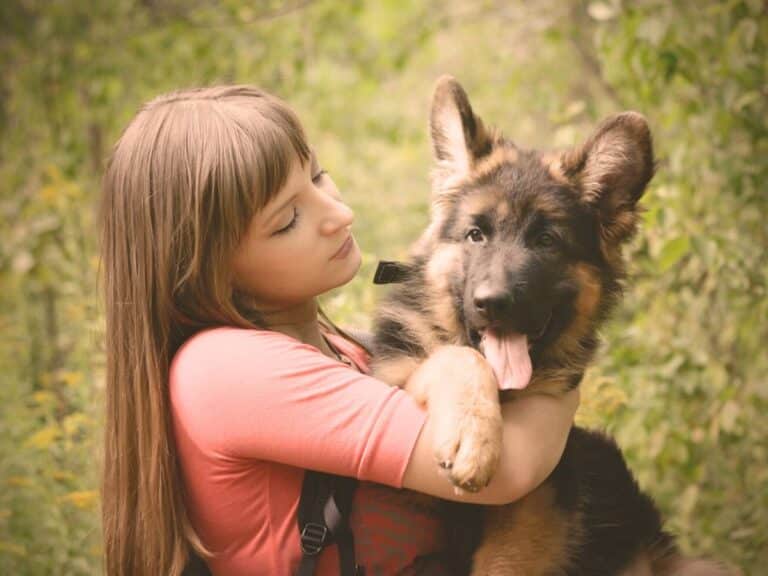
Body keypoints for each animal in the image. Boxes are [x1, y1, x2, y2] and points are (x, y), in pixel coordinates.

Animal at [368, 76, 728, 576]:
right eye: (476, 235)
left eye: (546, 241)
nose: (493, 303)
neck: (505, 394)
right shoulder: (394, 377)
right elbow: (455, 356)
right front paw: (473, 437)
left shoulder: (532, 511)